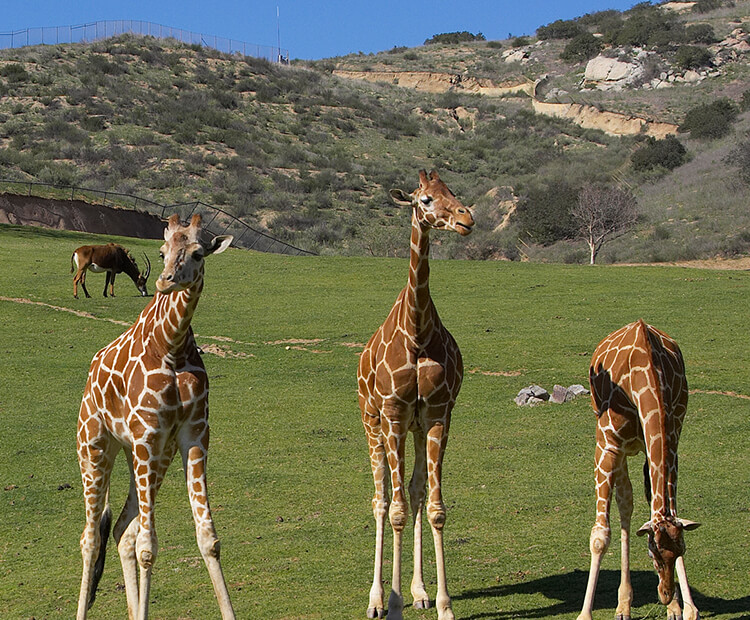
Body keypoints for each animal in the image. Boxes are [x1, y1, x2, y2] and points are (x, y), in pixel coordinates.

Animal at [75, 214, 235, 620]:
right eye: (163, 251)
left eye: (198, 253)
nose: (165, 281)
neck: (171, 346)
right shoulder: (147, 434)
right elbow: (149, 547)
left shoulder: (193, 434)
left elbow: (208, 538)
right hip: (95, 446)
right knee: (90, 538)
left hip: (151, 456)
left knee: (121, 530)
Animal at [360, 170, 476, 620]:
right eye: (425, 199)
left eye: (453, 193)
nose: (466, 218)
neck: (417, 332)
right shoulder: (392, 412)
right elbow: (394, 511)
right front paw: (391, 604)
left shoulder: (439, 413)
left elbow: (434, 507)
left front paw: (441, 603)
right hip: (372, 422)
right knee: (381, 500)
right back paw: (376, 599)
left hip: (414, 427)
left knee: (414, 492)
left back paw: (420, 591)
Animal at [580, 320, 704, 620]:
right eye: (652, 555)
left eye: (682, 550)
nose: (665, 594)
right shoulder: (607, 445)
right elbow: (600, 536)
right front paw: (584, 614)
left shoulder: (670, 441)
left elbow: (669, 509)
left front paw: (686, 608)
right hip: (619, 449)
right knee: (625, 502)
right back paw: (623, 605)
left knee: (636, 500)